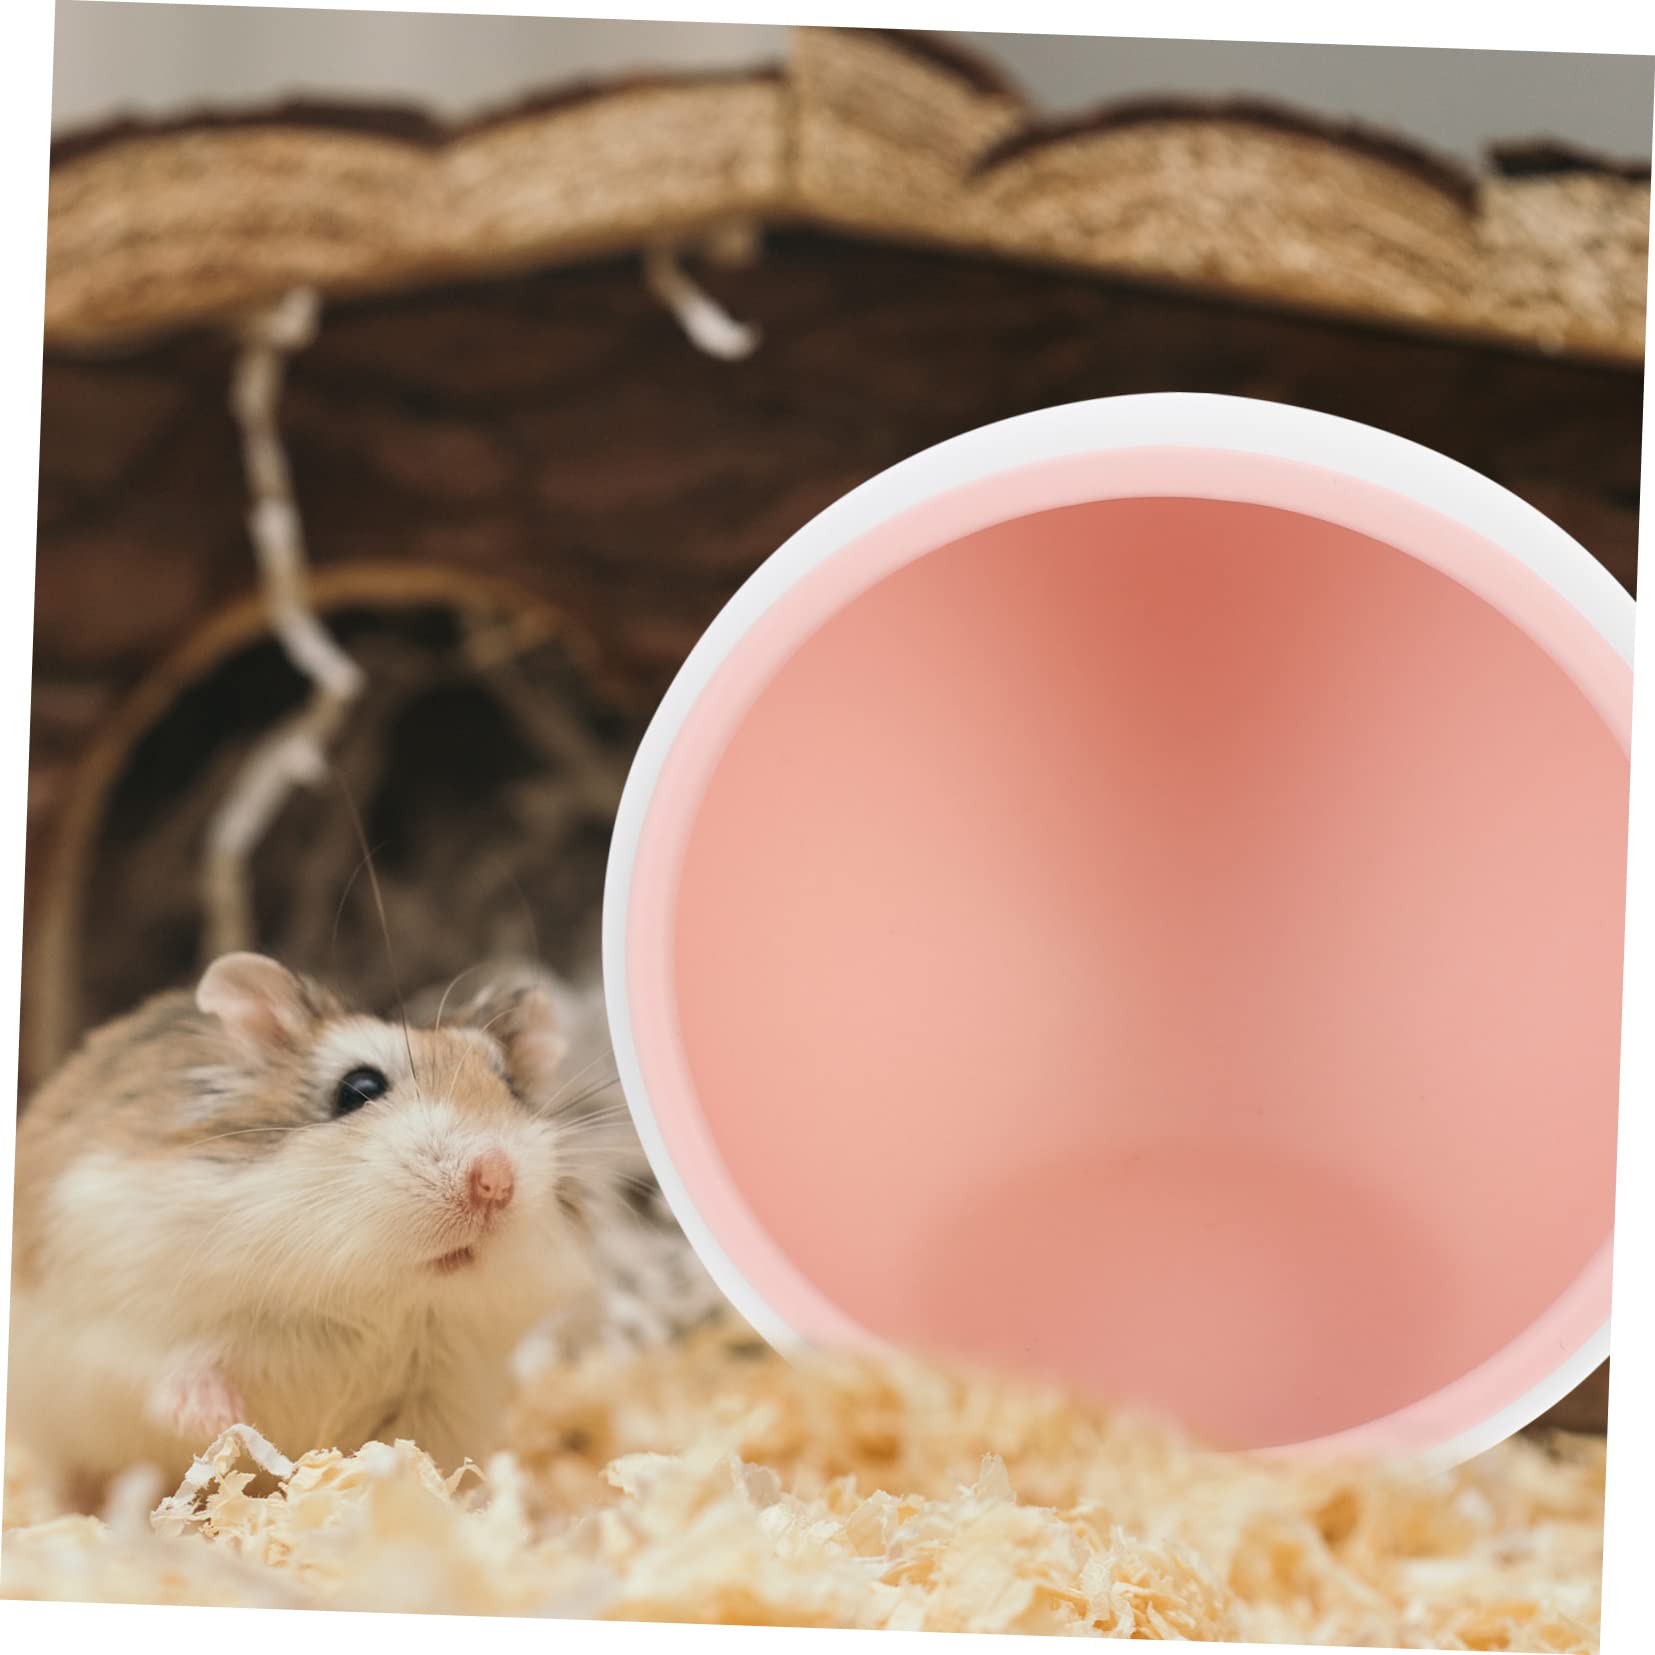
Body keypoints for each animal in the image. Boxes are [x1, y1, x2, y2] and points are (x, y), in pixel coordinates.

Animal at [7, 952, 597, 1510]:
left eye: (511, 1088)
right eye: (358, 1088)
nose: (495, 1180)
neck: (374, 1296)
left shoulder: (445, 1392)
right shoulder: (122, 1312)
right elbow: (169, 1368)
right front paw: (217, 1420)